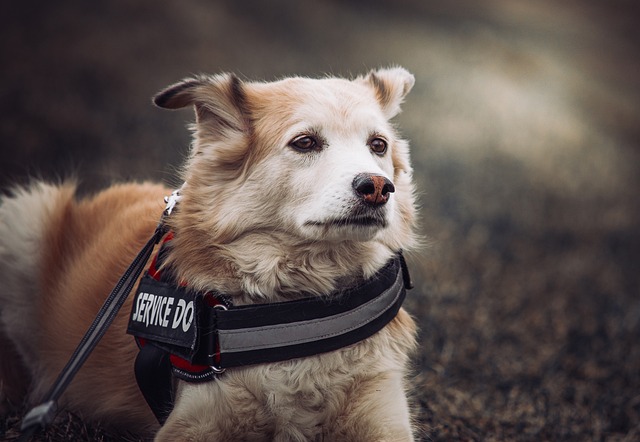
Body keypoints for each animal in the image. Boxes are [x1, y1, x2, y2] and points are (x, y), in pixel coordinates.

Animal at [0, 67, 418, 440]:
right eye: (305, 142)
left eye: (378, 145)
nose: (379, 187)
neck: (302, 307)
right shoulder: (193, 419)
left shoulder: (382, 414)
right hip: (25, 217)